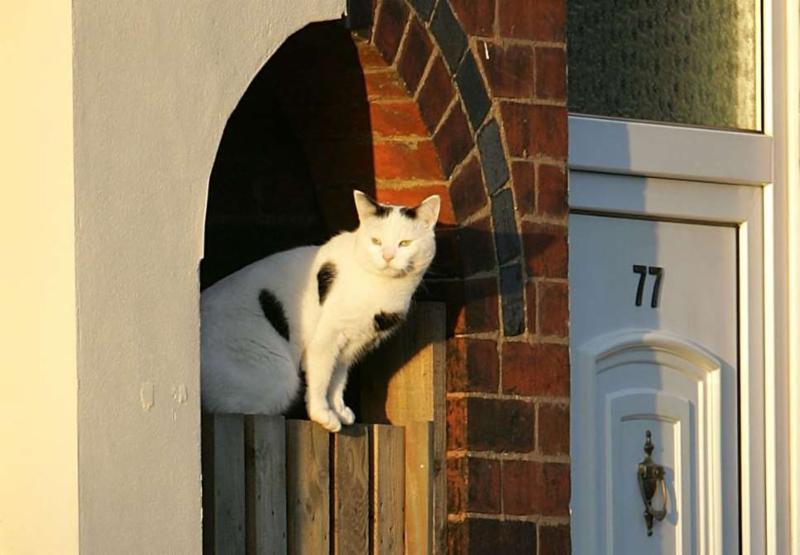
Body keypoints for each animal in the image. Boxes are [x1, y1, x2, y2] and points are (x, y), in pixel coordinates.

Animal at [201, 190, 440, 432]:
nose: (388, 256)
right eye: (376, 241)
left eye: (405, 243)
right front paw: (322, 414)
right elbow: (322, 376)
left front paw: (338, 410)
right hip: (279, 378)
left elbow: (337, 380)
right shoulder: (327, 337)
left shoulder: (351, 346)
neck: (385, 288)